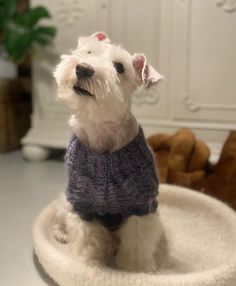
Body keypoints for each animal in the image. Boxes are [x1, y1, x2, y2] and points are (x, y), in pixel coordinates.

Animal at [54, 31, 162, 272]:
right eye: (88, 52)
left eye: (120, 67)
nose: (83, 69)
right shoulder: (81, 204)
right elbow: (85, 239)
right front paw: (85, 264)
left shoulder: (139, 205)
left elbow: (136, 241)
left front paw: (136, 270)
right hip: (65, 201)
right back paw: (61, 233)